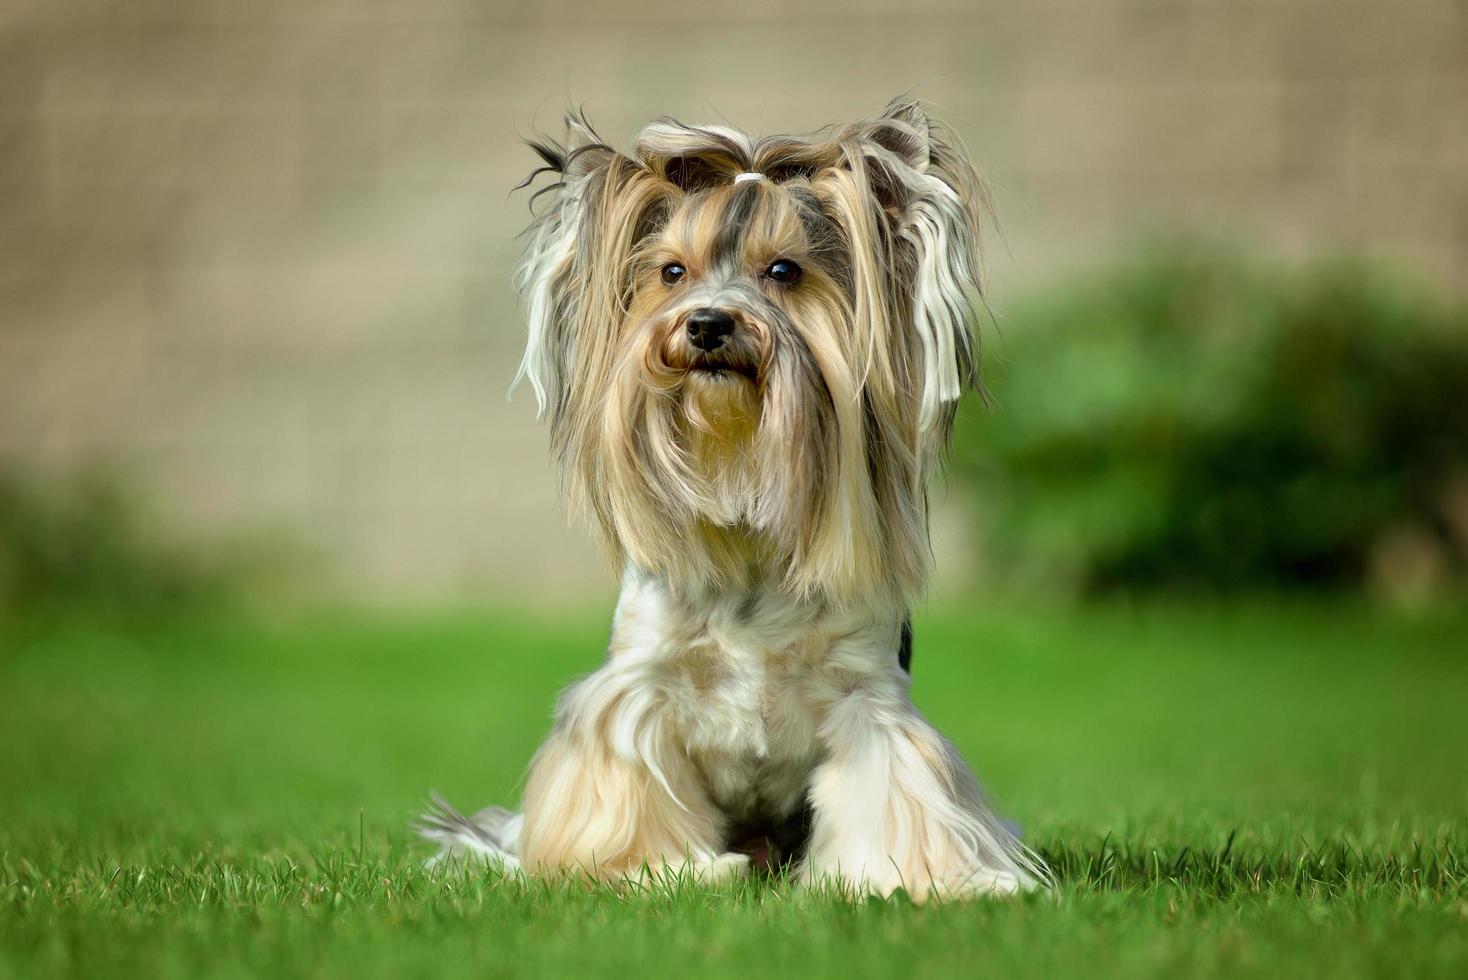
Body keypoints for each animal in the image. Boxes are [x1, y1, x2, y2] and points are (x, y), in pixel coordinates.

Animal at [419, 97, 1051, 897]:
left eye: (783, 270)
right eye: (671, 271)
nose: (707, 322)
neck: (745, 506)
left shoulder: (867, 697)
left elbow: (891, 789)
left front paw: (918, 883)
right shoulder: (640, 688)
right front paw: (662, 871)